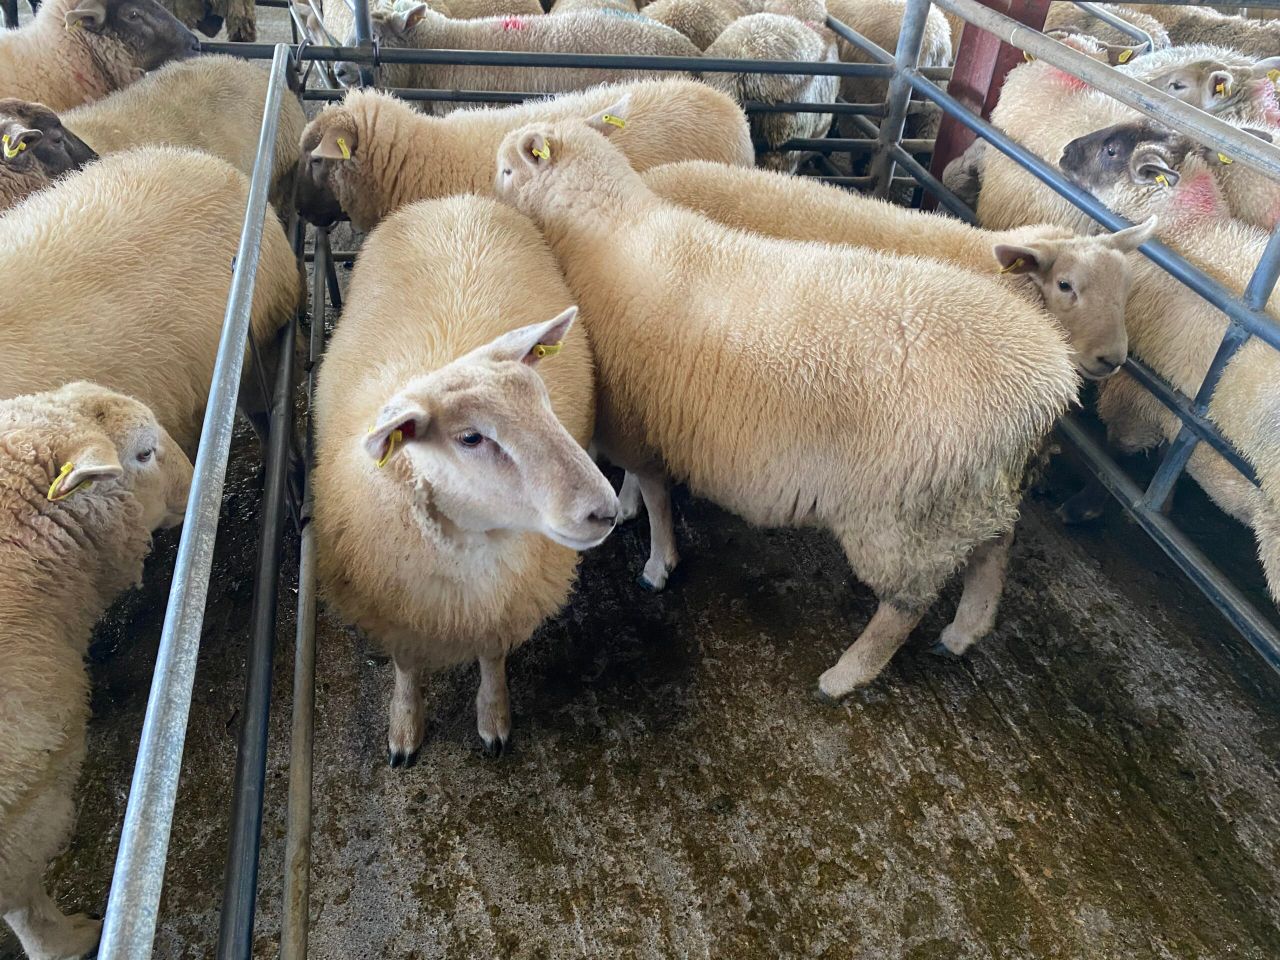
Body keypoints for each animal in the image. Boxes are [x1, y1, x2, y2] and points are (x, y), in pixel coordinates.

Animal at [313, 195, 618, 761]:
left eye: (544, 399)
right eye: (471, 438)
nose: (604, 511)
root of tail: (453, 201)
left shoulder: (503, 607)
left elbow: (492, 659)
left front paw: (493, 718)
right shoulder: (396, 612)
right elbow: (406, 667)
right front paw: (405, 727)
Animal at [494, 112, 1078, 694]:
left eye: (505, 169)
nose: (490, 194)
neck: (606, 234)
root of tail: (1048, 383)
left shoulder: (637, 416)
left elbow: (658, 498)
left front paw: (659, 564)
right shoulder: (641, 413)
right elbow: (643, 485)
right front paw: (630, 504)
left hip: (905, 515)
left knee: (906, 604)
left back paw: (846, 675)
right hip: (970, 497)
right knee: (994, 548)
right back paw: (965, 630)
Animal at [1059, 121, 1280, 604]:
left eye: (1111, 150)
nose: (1064, 152)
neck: (1186, 234)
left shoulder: (1135, 390)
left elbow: (1113, 455)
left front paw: (1085, 506)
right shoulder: (1175, 414)